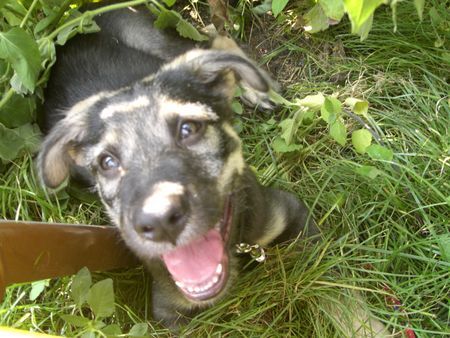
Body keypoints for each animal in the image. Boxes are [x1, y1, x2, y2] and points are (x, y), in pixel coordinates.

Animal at [37, 3, 316, 328]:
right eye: (107, 162)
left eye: (188, 129)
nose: (159, 221)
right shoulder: (170, 313)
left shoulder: (291, 212)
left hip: (160, 39)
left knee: (212, 40)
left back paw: (261, 87)